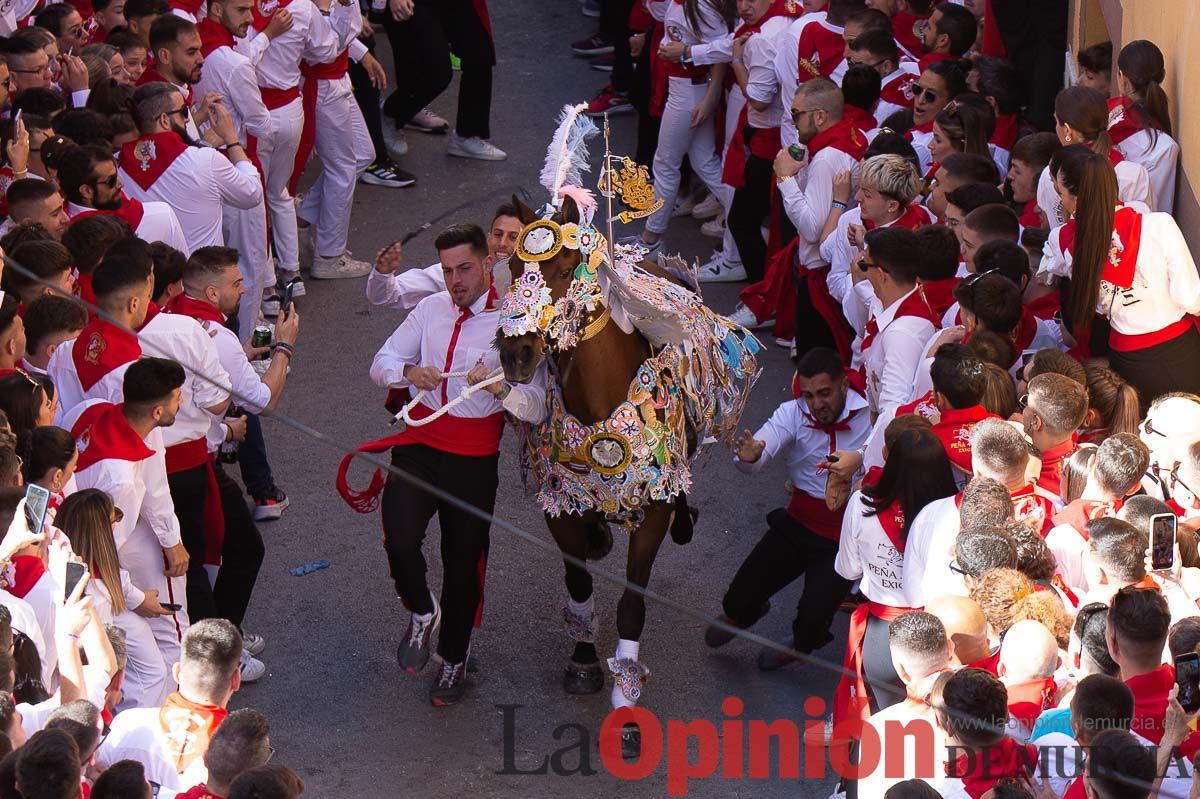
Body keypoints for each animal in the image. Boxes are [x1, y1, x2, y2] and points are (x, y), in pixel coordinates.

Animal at [494, 105, 758, 753]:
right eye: (510, 264)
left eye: (566, 266)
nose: (515, 353)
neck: (598, 406)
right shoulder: (559, 505)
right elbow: (578, 580)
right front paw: (586, 660)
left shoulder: (653, 510)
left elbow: (631, 605)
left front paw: (626, 696)